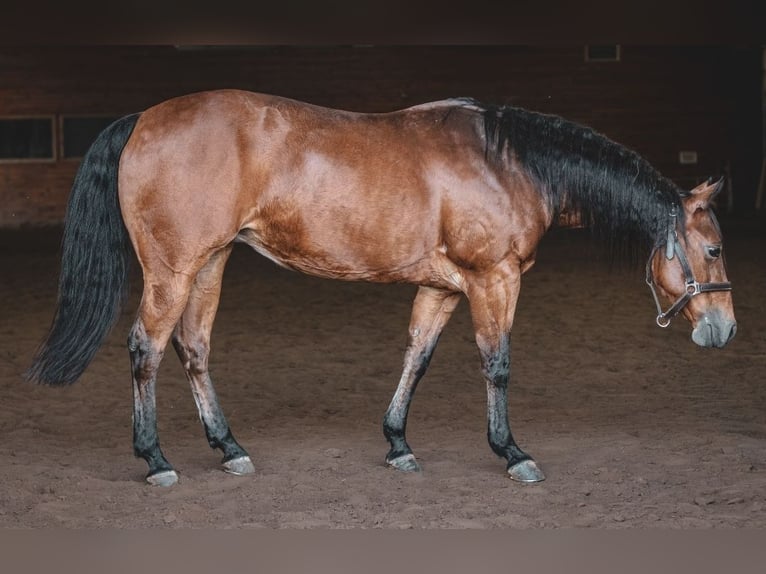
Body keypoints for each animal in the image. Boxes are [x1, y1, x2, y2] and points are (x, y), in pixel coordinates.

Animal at [26, 90, 736, 486]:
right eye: (714, 248)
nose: (724, 329)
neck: (506, 163)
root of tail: (143, 119)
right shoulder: (494, 281)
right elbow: (497, 365)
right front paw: (511, 453)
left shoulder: (445, 288)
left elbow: (416, 357)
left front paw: (397, 443)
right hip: (174, 268)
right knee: (146, 347)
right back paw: (156, 460)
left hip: (210, 263)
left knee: (193, 347)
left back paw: (229, 449)